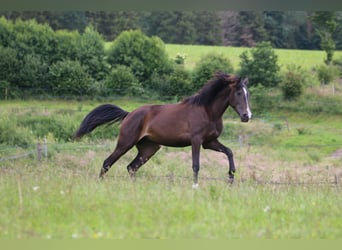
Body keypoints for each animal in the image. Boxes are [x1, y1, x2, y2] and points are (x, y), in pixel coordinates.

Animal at [74, 73, 251, 188]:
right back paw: (100, 185)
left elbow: (229, 152)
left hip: (149, 149)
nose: (247, 116)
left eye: (248, 94)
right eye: (238, 93)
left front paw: (231, 177)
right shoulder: (196, 141)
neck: (207, 111)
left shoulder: (210, 142)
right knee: (107, 163)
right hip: (125, 143)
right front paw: (195, 187)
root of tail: (129, 114)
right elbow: (196, 165)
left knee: (131, 167)